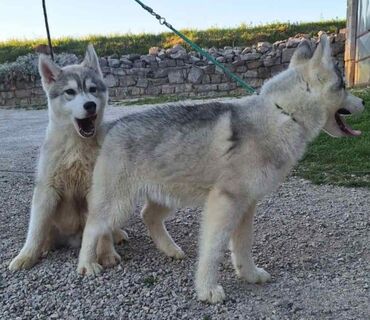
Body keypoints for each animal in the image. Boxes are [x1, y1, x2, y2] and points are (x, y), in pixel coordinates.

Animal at [9, 44, 127, 270]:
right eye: (70, 92)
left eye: (92, 89)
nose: (90, 105)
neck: (76, 147)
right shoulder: (46, 189)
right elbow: (35, 230)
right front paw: (26, 256)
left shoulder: (95, 189)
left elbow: (101, 231)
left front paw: (106, 253)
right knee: (45, 230)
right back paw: (45, 246)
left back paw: (117, 235)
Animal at [76, 35, 362, 302]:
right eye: (343, 85)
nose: (362, 102)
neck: (283, 114)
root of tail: (112, 126)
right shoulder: (225, 204)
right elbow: (213, 250)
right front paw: (207, 289)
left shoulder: (247, 205)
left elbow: (243, 246)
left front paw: (249, 274)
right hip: (119, 203)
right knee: (93, 225)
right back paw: (86, 264)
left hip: (167, 194)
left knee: (149, 216)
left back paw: (170, 249)